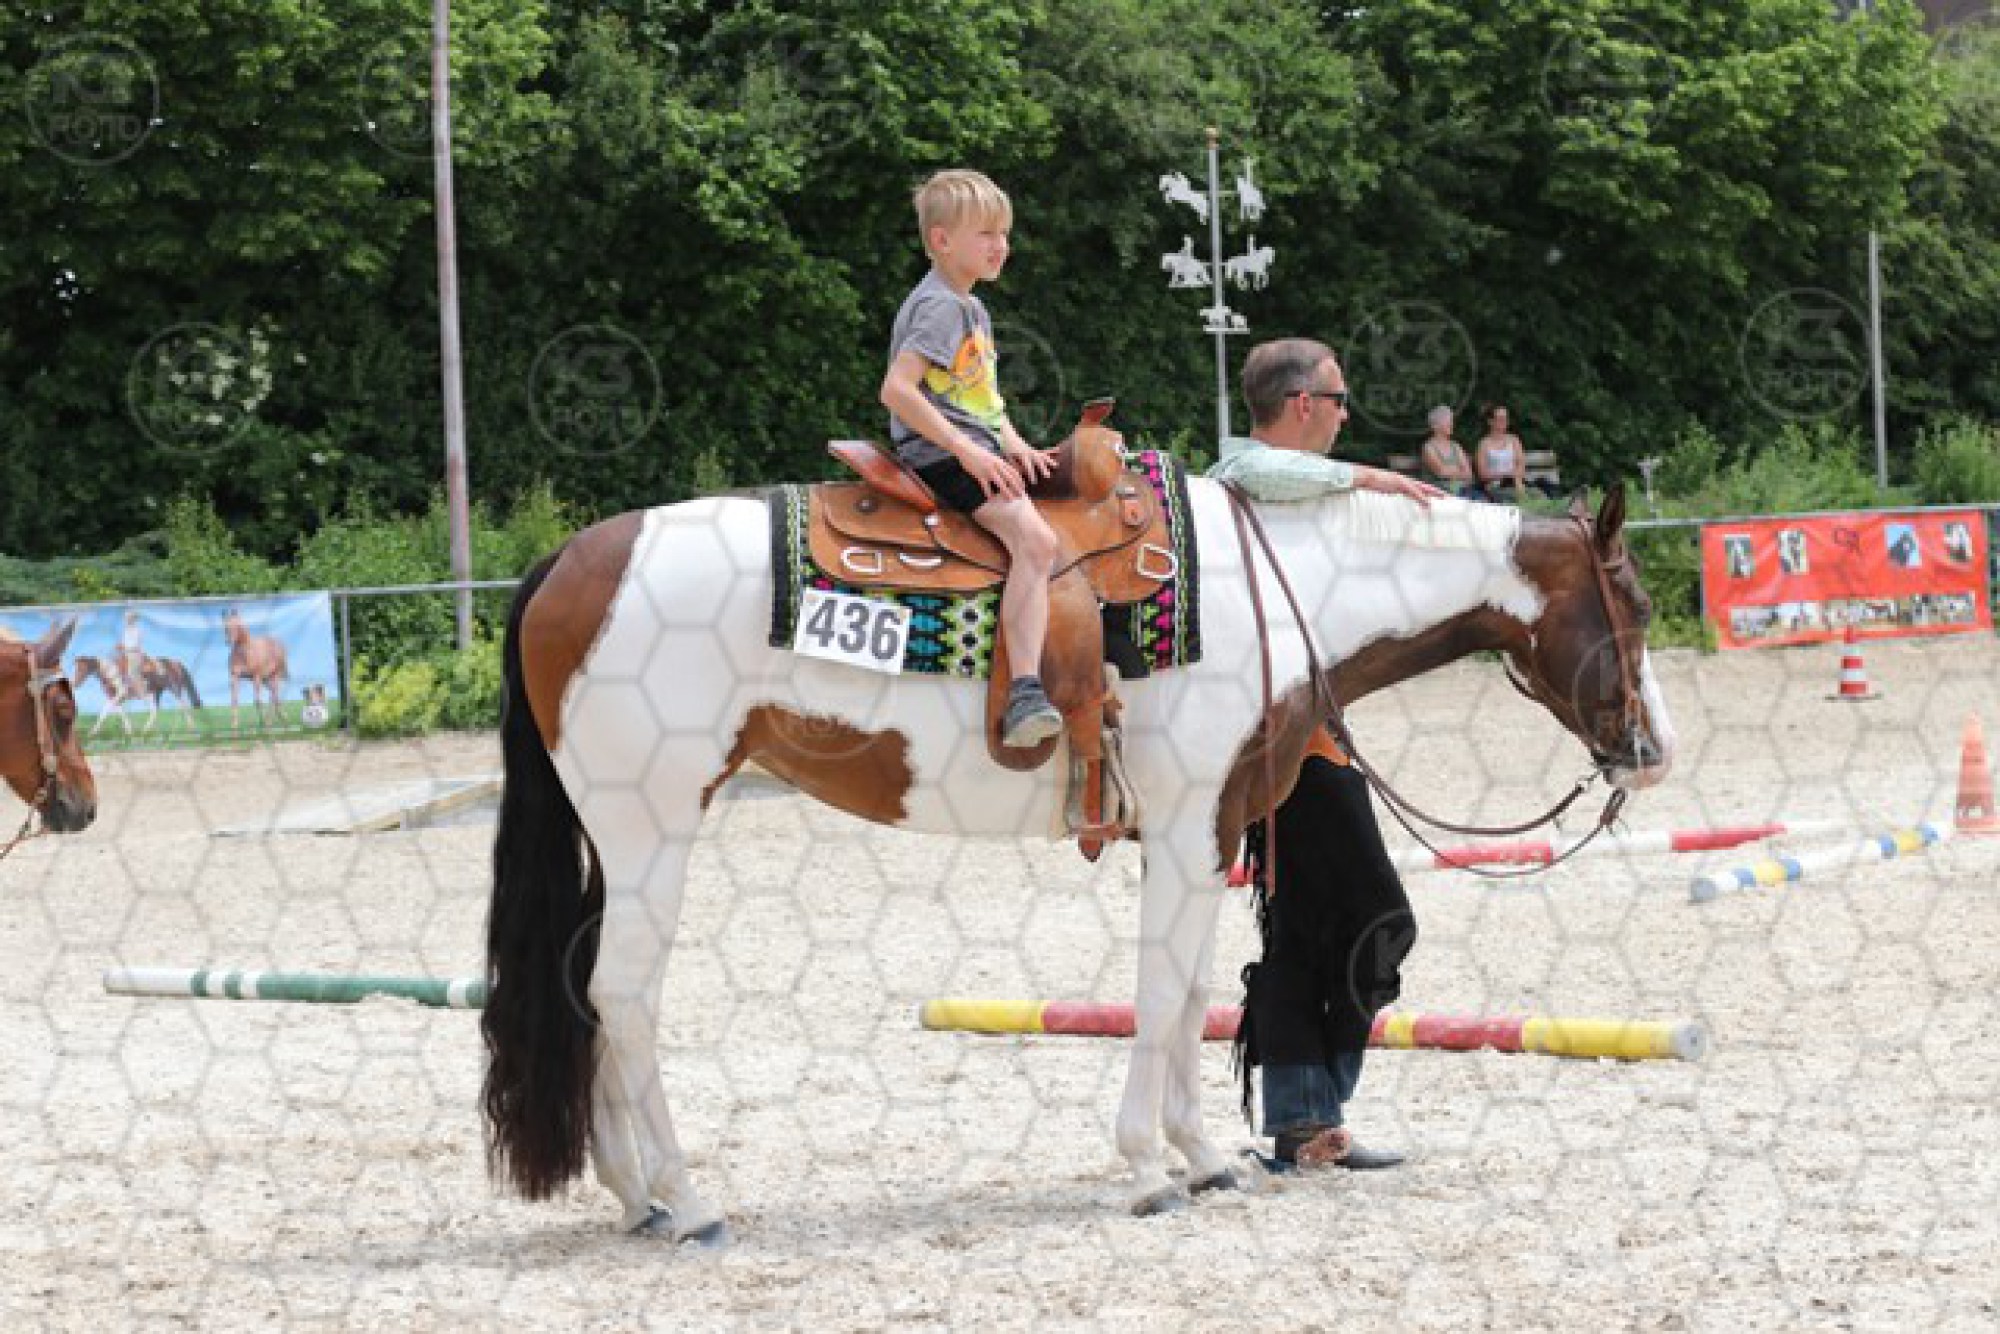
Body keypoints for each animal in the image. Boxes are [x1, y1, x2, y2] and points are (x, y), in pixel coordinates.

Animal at [72, 654, 204, 737]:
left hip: (174, 690)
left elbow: (104, 711)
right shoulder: (115, 697)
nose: (75, 683)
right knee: (155, 710)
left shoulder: (120, 694)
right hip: (156, 692)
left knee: (183, 707)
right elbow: (120, 712)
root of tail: (176, 662)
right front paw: (129, 731)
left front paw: (92, 732)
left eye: (82, 668)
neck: (111, 673)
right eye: (76, 668)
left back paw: (192, 729)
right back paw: (149, 731)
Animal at [479, 480, 1673, 1243]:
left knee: (587, 995)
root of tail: (571, 561)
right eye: (1637, 602)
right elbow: (1158, 994)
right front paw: (1148, 1169)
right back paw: (684, 1200)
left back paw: (632, 1195)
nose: (1652, 749)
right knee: (625, 997)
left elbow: (1193, 993)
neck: (1279, 589)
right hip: (651, 836)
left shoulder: (1208, 836)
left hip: (617, 843)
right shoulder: (1187, 831)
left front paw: (1205, 1158)